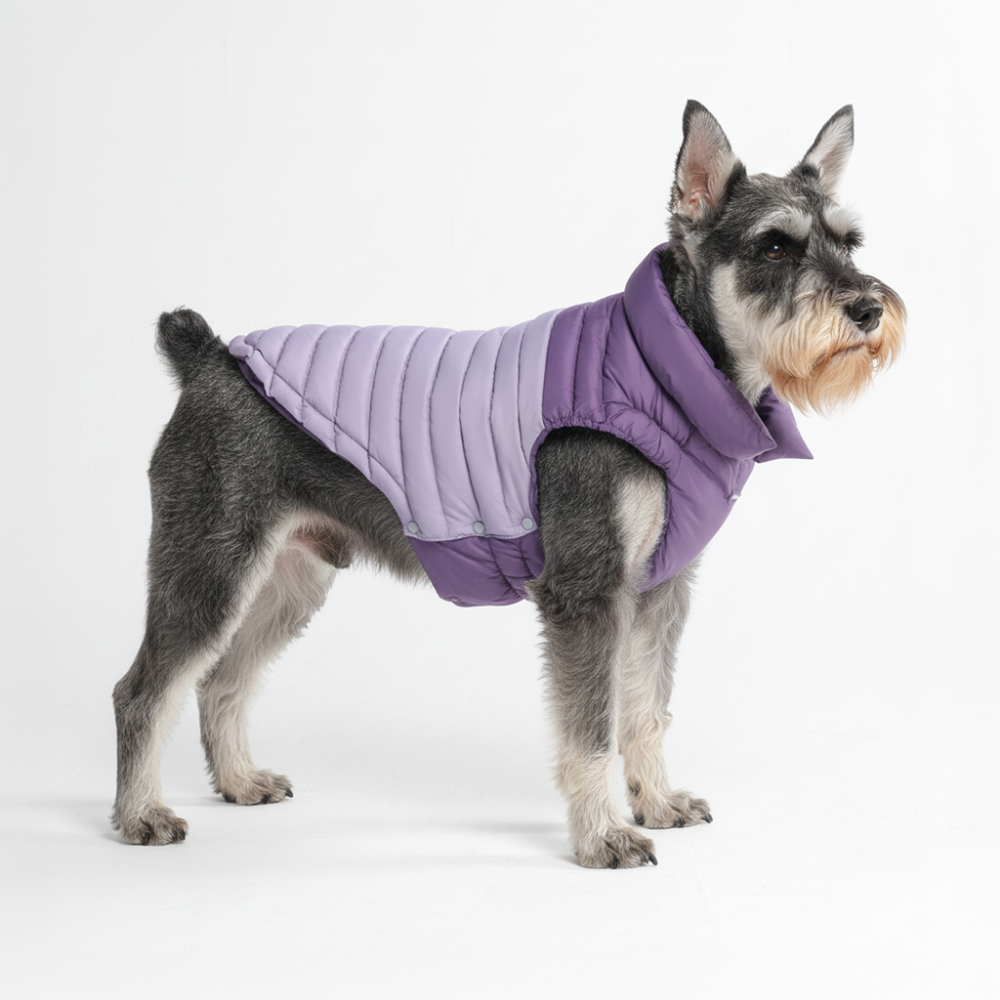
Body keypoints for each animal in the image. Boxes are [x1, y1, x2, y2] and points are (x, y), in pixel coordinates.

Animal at [112, 102, 905, 868]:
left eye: (850, 242)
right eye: (774, 246)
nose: (868, 310)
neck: (663, 374)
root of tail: (211, 357)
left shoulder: (658, 593)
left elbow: (646, 710)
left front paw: (657, 802)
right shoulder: (586, 596)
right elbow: (591, 729)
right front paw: (603, 837)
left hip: (288, 580)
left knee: (221, 680)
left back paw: (239, 780)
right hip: (210, 573)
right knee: (143, 691)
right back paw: (141, 814)